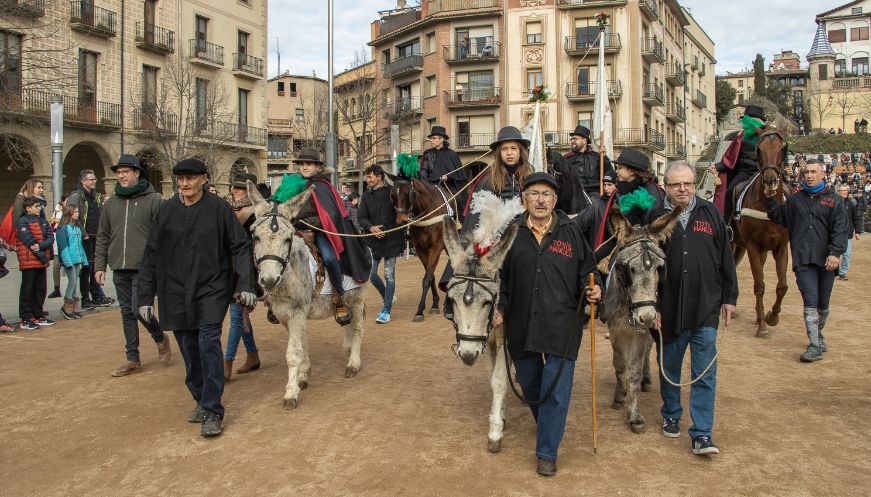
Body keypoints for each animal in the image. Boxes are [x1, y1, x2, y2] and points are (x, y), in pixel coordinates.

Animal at [394, 176, 454, 320]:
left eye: (408, 194)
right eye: (393, 194)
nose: (401, 221)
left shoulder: (436, 247)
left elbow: (427, 278)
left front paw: (420, 310)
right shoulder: (420, 249)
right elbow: (430, 276)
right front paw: (435, 304)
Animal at [732, 126, 792, 340]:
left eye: (783, 148)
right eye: (759, 148)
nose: (770, 181)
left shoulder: (781, 247)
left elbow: (782, 286)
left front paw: (771, 316)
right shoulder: (753, 247)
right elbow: (759, 285)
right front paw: (763, 327)